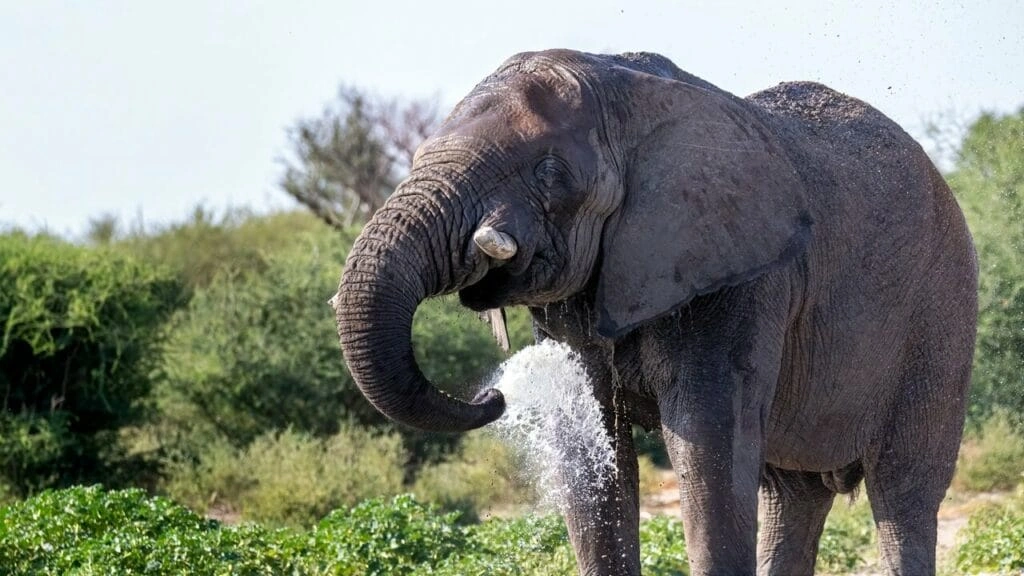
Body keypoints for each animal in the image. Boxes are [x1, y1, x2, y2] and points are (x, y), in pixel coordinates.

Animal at [332, 49, 977, 575]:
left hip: (941, 314)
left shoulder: (740, 277)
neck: (628, 93)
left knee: (902, 491)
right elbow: (594, 452)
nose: (493, 396)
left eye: (550, 172)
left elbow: (706, 446)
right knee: (792, 494)